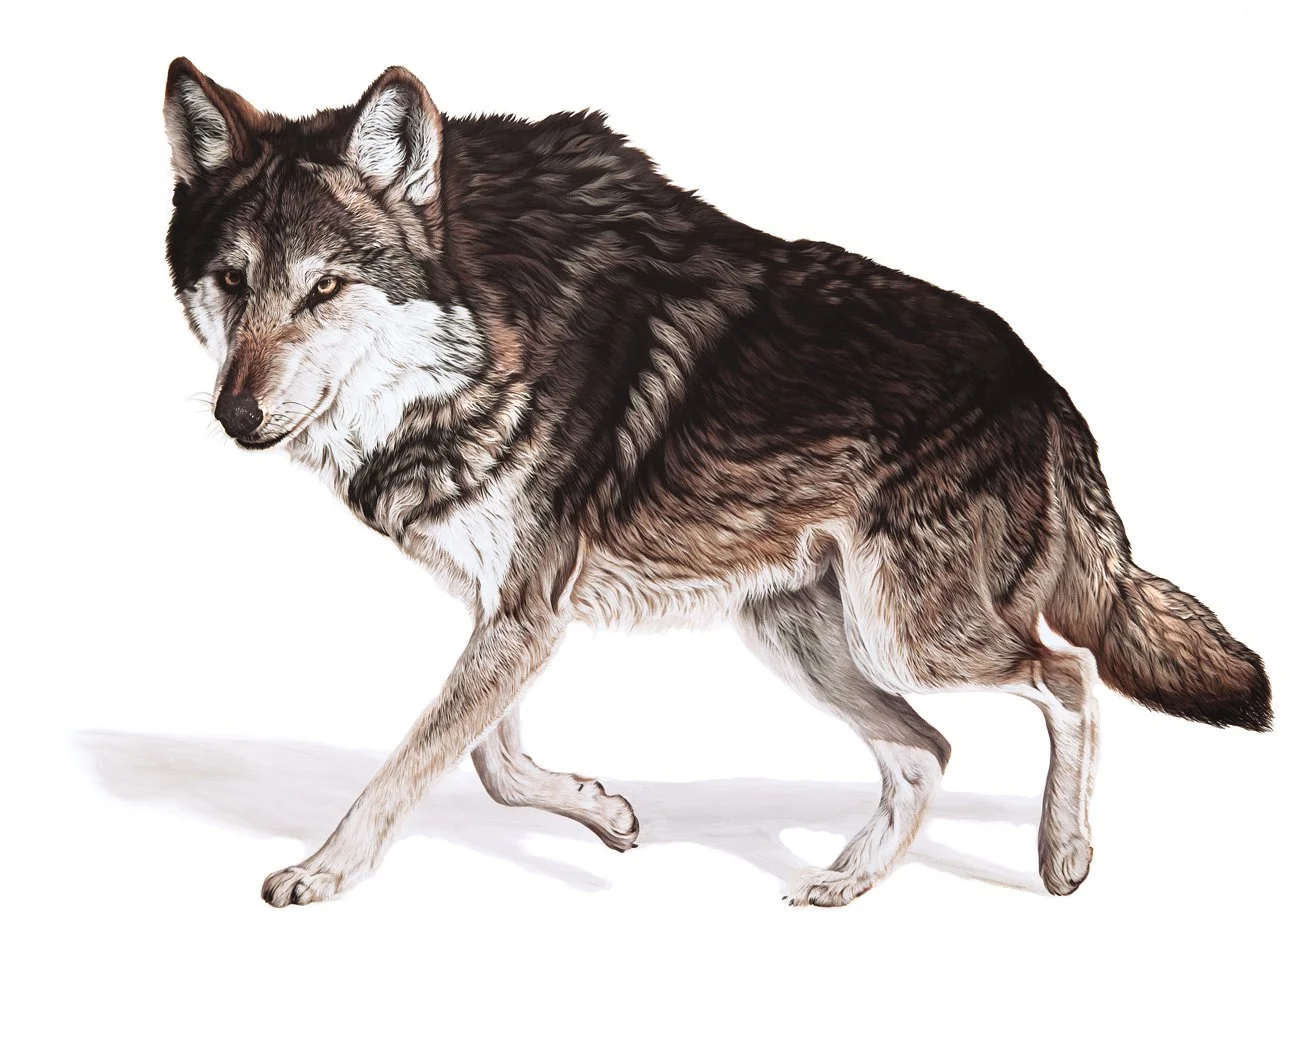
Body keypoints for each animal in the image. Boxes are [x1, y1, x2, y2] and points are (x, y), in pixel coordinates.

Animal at [163, 58, 1271, 907]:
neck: (490, 330)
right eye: (232, 281)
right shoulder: (510, 608)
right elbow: (486, 757)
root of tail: (1045, 386)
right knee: (929, 751)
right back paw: (847, 882)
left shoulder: (524, 610)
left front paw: (321, 871)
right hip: (799, 638)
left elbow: (411, 763)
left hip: (912, 639)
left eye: (325, 287)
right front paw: (605, 813)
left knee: (1068, 678)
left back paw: (1064, 855)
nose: (234, 416)